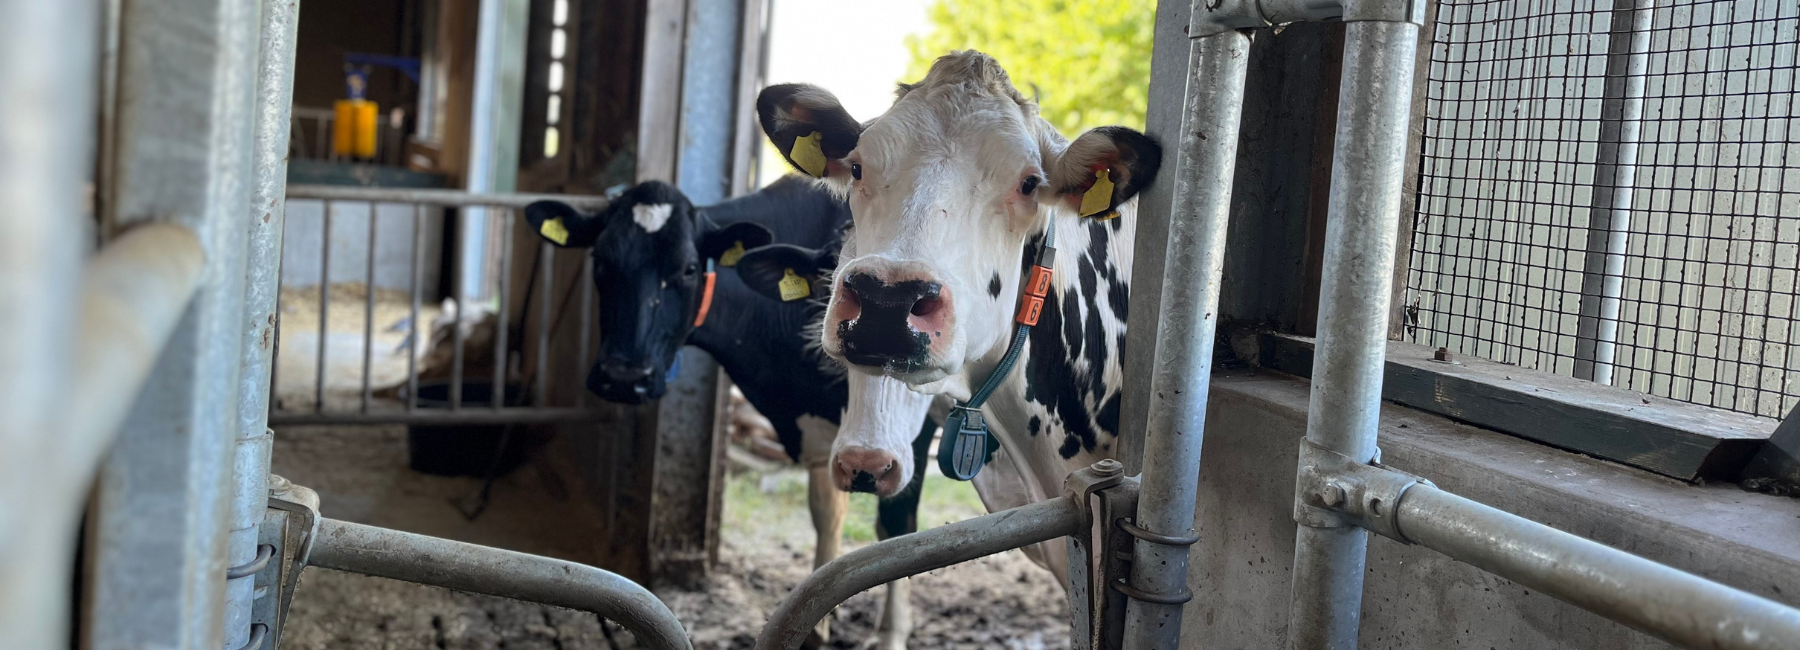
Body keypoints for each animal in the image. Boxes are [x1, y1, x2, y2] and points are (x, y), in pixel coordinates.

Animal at [523, 177, 933, 649]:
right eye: (600, 261)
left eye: (687, 269)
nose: (624, 377)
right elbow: (826, 514)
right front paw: (818, 624)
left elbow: (897, 526)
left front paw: (890, 633)